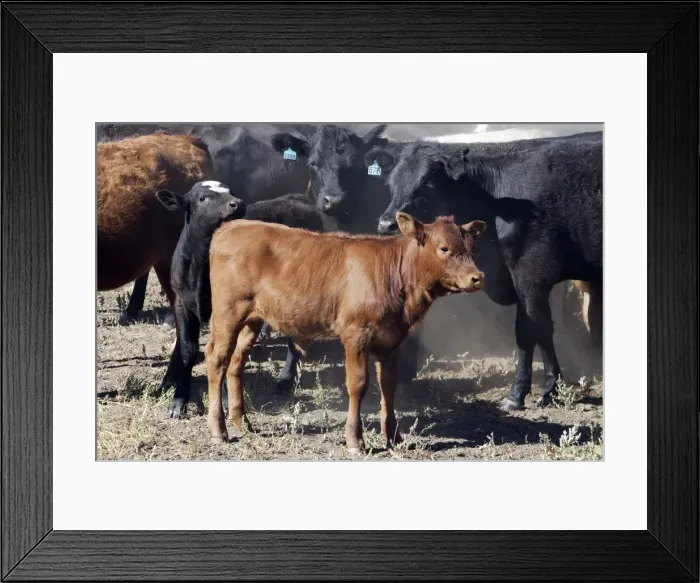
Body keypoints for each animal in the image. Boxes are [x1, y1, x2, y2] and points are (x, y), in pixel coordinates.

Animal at [156, 183, 330, 418]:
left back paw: (285, 381)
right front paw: (178, 401)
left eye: (230, 191)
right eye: (203, 197)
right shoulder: (182, 305)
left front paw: (225, 399)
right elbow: (187, 351)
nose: (237, 203)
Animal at [205, 213, 487, 453]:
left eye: (471, 246)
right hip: (227, 312)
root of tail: (232, 226)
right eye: (444, 248)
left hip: (252, 319)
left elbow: (389, 386)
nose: (477, 277)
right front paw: (354, 440)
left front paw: (394, 437)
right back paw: (218, 430)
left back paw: (243, 423)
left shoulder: (393, 342)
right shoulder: (356, 334)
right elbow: (358, 384)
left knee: (236, 363)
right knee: (218, 360)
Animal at [372, 132, 603, 411]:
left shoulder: (531, 276)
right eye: (391, 183)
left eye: (427, 186)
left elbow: (536, 329)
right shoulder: (516, 278)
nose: (386, 224)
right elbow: (529, 332)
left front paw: (542, 391)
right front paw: (531, 391)